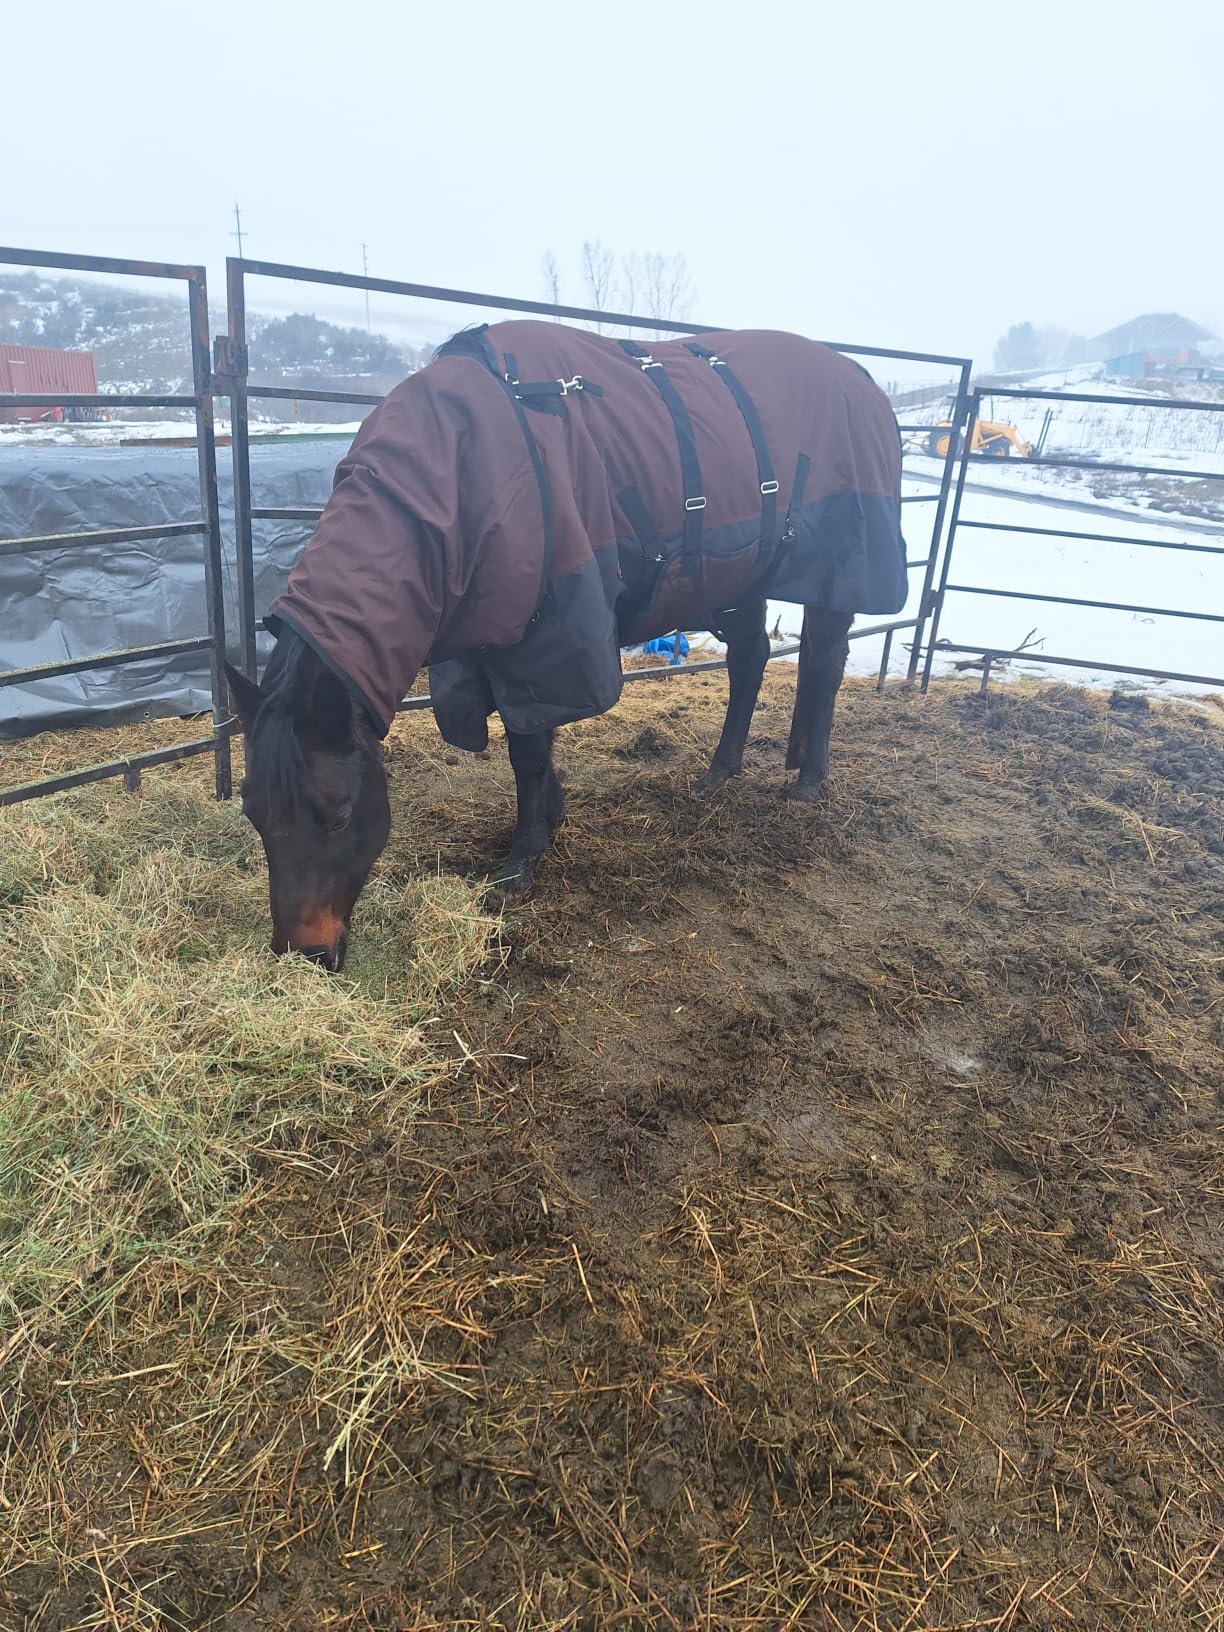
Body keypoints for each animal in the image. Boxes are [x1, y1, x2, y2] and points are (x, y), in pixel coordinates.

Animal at [226, 320, 906, 971]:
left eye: (340, 816)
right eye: (253, 814)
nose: (306, 955)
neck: (466, 468)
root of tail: (862, 380)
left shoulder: (548, 636)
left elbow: (528, 750)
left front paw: (521, 860)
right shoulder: (489, 646)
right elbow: (529, 746)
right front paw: (551, 816)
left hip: (837, 569)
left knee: (822, 665)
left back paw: (808, 781)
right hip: (739, 577)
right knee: (750, 661)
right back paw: (720, 772)